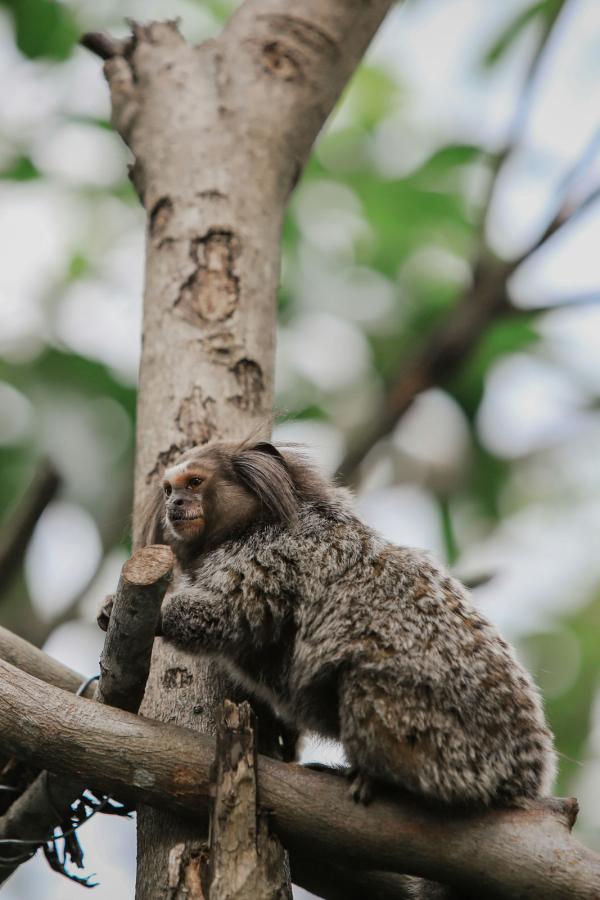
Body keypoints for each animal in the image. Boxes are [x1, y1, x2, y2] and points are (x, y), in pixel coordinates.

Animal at [99, 442, 556, 808]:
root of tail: (524, 773)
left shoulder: (273, 556)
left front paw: (159, 613)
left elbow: (228, 614)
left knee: (363, 681)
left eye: (193, 483)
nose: (175, 504)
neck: (251, 525)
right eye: (168, 489)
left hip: (446, 741)